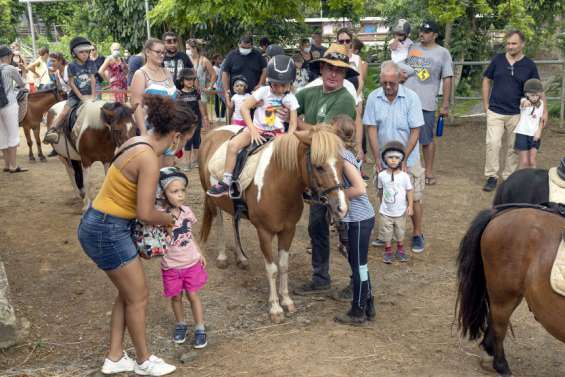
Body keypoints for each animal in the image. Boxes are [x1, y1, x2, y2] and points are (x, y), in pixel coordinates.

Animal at [198, 125, 348, 322]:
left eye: (341, 164)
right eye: (319, 166)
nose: (341, 207)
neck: (277, 184)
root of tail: (214, 131)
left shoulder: (288, 230)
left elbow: (283, 266)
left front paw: (287, 301)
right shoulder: (264, 232)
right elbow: (272, 269)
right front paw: (275, 308)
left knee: (234, 223)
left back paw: (241, 258)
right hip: (212, 199)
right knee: (220, 223)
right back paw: (222, 257)